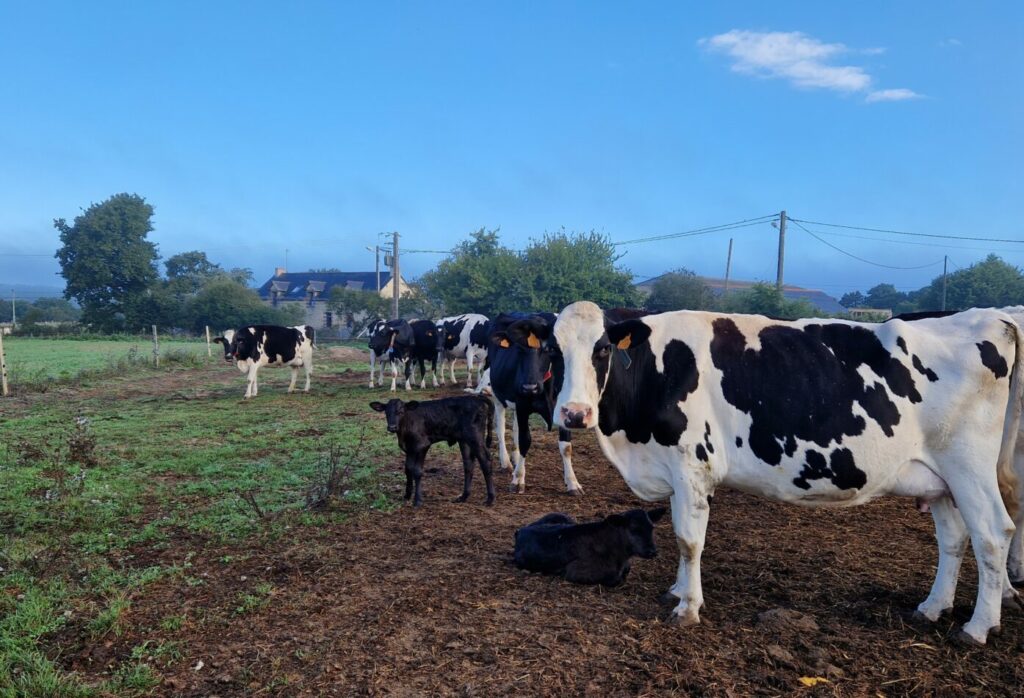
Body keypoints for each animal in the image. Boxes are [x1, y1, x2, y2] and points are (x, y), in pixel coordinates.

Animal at [486, 312, 581, 495]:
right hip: (497, 395)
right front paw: (518, 480)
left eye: (549, 349)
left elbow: (566, 446)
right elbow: (525, 440)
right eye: (518, 349)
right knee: (501, 428)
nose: (529, 387)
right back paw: (506, 462)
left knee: (515, 428)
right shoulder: (522, 405)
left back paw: (515, 458)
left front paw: (572, 482)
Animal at [514, 507, 667, 586]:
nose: (652, 551)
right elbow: (616, 579)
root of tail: (520, 530)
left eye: (652, 528)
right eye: (634, 529)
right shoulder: (574, 572)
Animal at [553, 301, 1024, 645]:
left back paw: (978, 627)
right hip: (941, 480)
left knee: (993, 533)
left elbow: (689, 541)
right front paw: (678, 590)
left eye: (602, 349)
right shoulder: (672, 471)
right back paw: (932, 608)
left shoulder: (691, 466)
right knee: (954, 539)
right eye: (553, 353)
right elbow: (682, 538)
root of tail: (991, 317)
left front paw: (687, 608)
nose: (574, 414)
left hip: (970, 468)